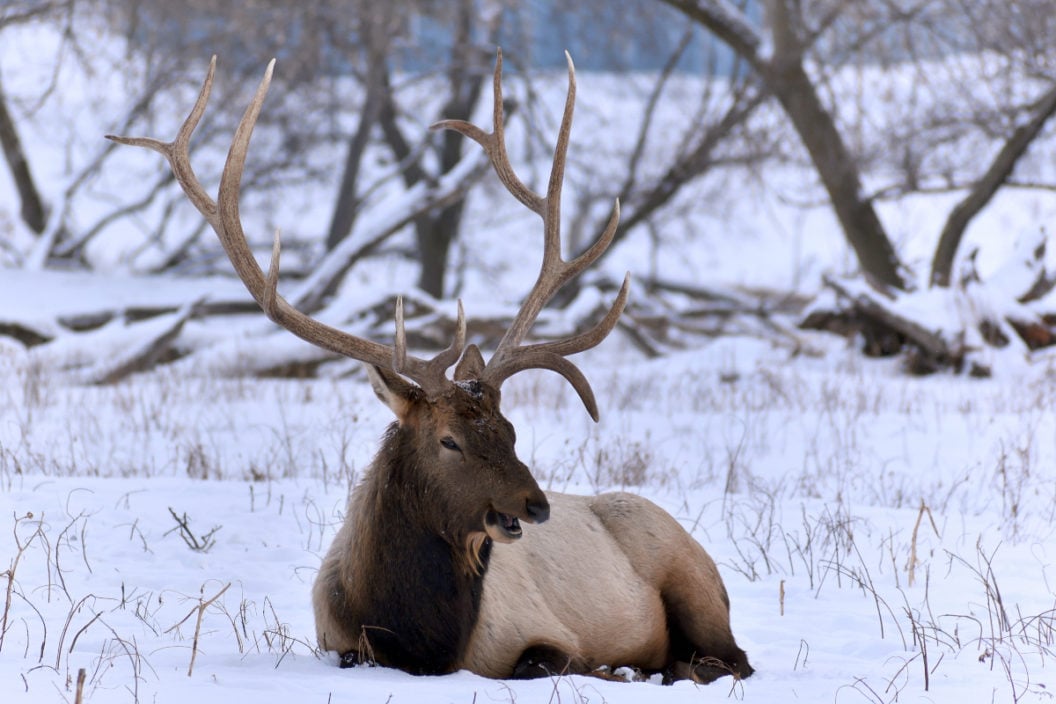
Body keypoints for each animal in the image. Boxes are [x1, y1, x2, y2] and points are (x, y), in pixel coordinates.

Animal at [109, 48, 751, 683]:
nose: (537, 505)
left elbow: (545, 662)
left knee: (730, 659)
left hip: (692, 577)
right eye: (449, 441)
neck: (421, 637)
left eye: (511, 431)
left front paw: (620, 672)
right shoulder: (340, 644)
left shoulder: (544, 633)